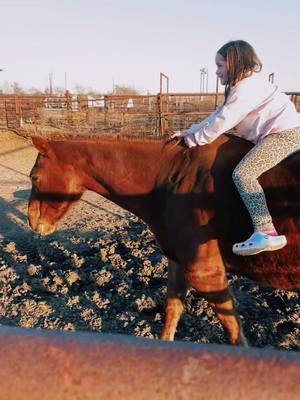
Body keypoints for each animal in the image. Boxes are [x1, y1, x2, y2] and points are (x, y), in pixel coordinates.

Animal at [28, 134, 300, 344]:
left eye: (34, 177)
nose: (31, 221)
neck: (170, 181)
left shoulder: (206, 273)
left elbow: (234, 332)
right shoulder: (178, 262)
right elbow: (172, 310)